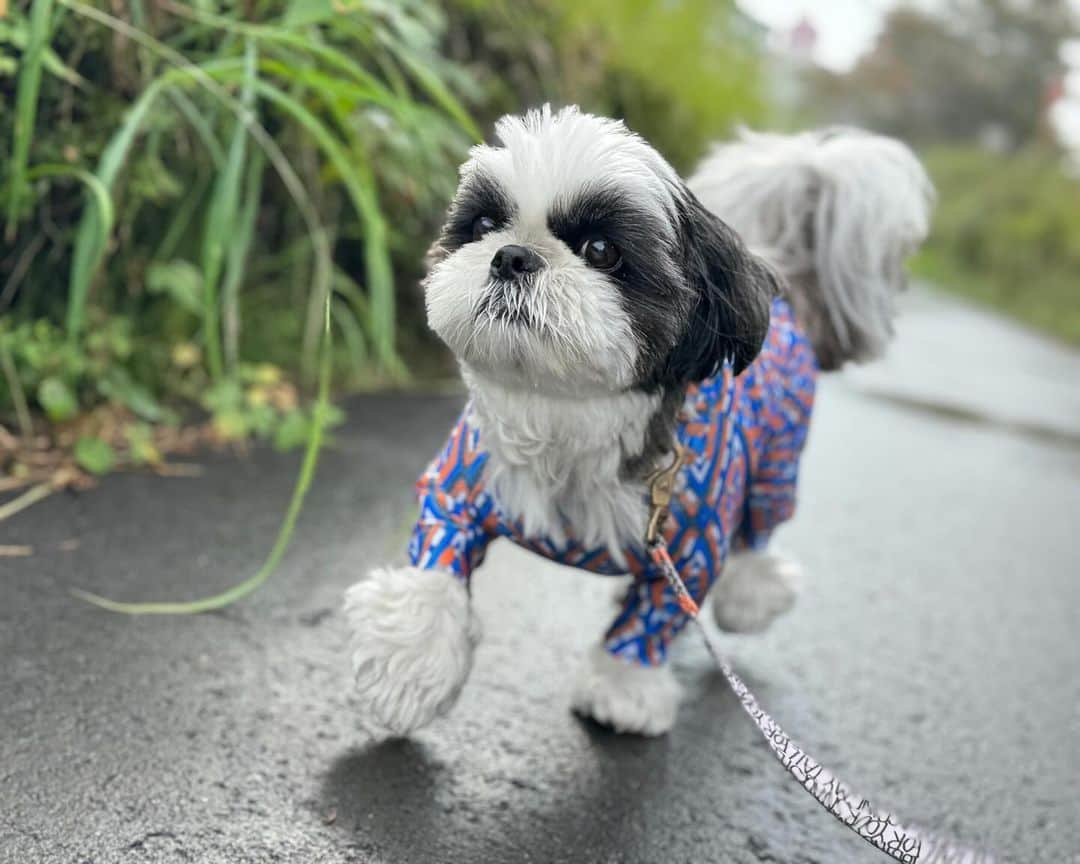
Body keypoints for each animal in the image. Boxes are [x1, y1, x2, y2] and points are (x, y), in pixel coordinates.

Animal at [343, 106, 928, 734]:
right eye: (483, 225)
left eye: (601, 249)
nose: (514, 255)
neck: (565, 417)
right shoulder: (458, 489)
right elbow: (435, 565)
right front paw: (408, 664)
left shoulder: (692, 544)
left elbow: (659, 612)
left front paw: (623, 687)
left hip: (777, 459)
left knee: (760, 528)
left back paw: (752, 593)